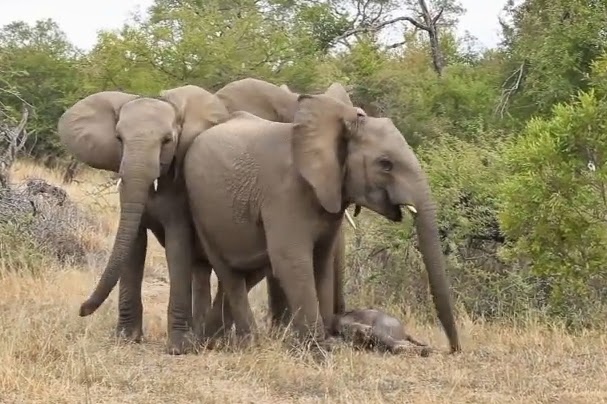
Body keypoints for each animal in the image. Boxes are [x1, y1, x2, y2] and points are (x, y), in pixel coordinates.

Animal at [57, 85, 230, 354]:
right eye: (119, 139)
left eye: (167, 141)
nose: (82, 310)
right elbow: (134, 245)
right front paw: (127, 338)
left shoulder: (180, 192)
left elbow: (177, 246)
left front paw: (179, 348)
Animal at [183, 92, 464, 354]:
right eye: (385, 164)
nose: (453, 349)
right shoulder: (284, 195)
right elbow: (291, 260)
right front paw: (319, 349)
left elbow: (322, 259)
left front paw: (327, 341)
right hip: (201, 211)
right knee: (229, 273)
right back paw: (247, 343)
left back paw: (210, 339)